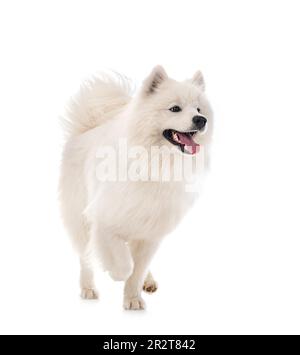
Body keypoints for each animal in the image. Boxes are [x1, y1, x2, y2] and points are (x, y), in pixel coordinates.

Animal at [59, 65, 212, 310]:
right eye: (175, 108)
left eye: (198, 108)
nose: (201, 120)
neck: (155, 163)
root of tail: (86, 130)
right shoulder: (104, 222)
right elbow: (124, 264)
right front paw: (116, 273)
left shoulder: (151, 232)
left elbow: (137, 269)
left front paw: (132, 298)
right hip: (79, 219)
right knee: (85, 257)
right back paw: (88, 288)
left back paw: (147, 281)